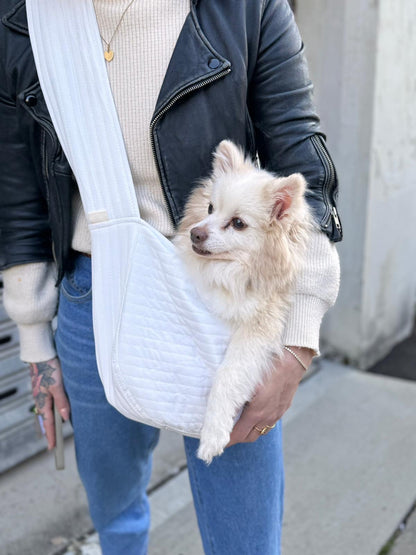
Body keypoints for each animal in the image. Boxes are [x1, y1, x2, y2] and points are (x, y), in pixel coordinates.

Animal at [174, 141, 314, 462]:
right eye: (210, 208)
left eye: (237, 224)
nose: (195, 233)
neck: (233, 270)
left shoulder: (258, 327)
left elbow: (228, 376)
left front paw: (213, 435)